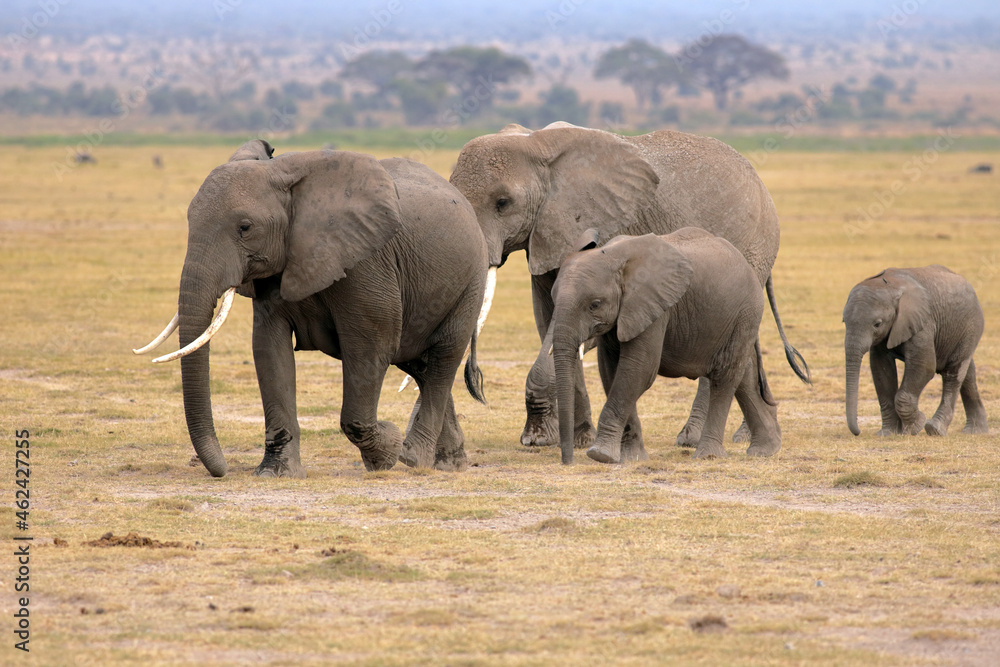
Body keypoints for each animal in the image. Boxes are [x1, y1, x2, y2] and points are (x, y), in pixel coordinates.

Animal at [134, 140, 491, 477]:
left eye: (245, 227)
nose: (221, 469)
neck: (285, 176)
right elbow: (269, 350)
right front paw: (275, 473)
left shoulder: (367, 262)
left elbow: (371, 346)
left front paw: (387, 450)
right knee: (419, 363)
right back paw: (448, 463)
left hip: (471, 280)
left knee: (442, 358)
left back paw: (413, 457)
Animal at [549, 228, 781, 464]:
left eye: (594, 305)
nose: (568, 461)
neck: (614, 256)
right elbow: (611, 371)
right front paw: (632, 458)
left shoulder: (655, 307)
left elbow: (640, 369)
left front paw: (600, 455)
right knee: (744, 376)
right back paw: (765, 450)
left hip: (745, 312)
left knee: (725, 376)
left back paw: (708, 455)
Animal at [844, 266, 988, 437]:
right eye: (844, 322)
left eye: (877, 324)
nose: (858, 432)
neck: (890, 286)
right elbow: (881, 369)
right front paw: (888, 433)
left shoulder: (923, 323)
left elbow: (924, 366)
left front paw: (915, 426)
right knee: (968, 374)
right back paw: (975, 431)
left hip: (971, 325)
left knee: (953, 373)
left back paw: (935, 429)